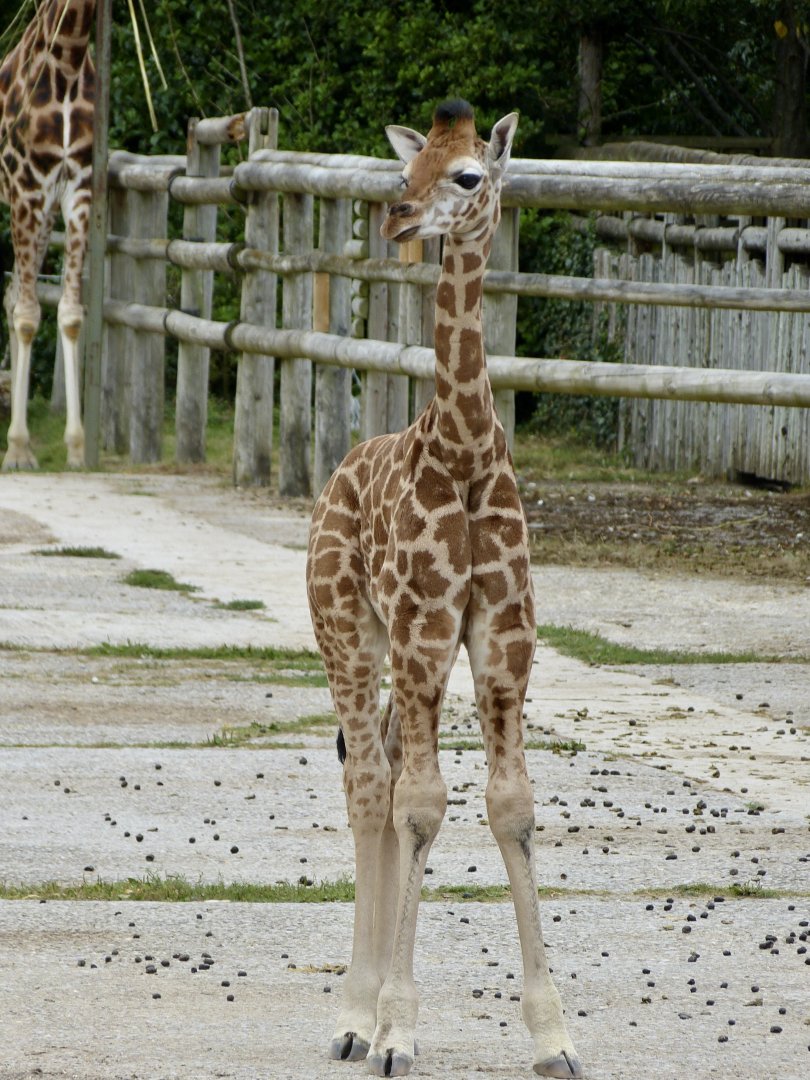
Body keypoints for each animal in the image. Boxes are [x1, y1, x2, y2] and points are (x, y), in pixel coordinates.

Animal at [306, 99, 582, 1079]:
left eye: (467, 174)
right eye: (407, 168)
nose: (397, 217)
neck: (463, 449)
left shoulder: (504, 645)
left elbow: (511, 808)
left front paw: (555, 1036)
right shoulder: (427, 635)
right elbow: (423, 806)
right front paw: (394, 1030)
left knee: (383, 777)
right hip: (346, 633)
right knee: (369, 788)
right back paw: (350, 1017)